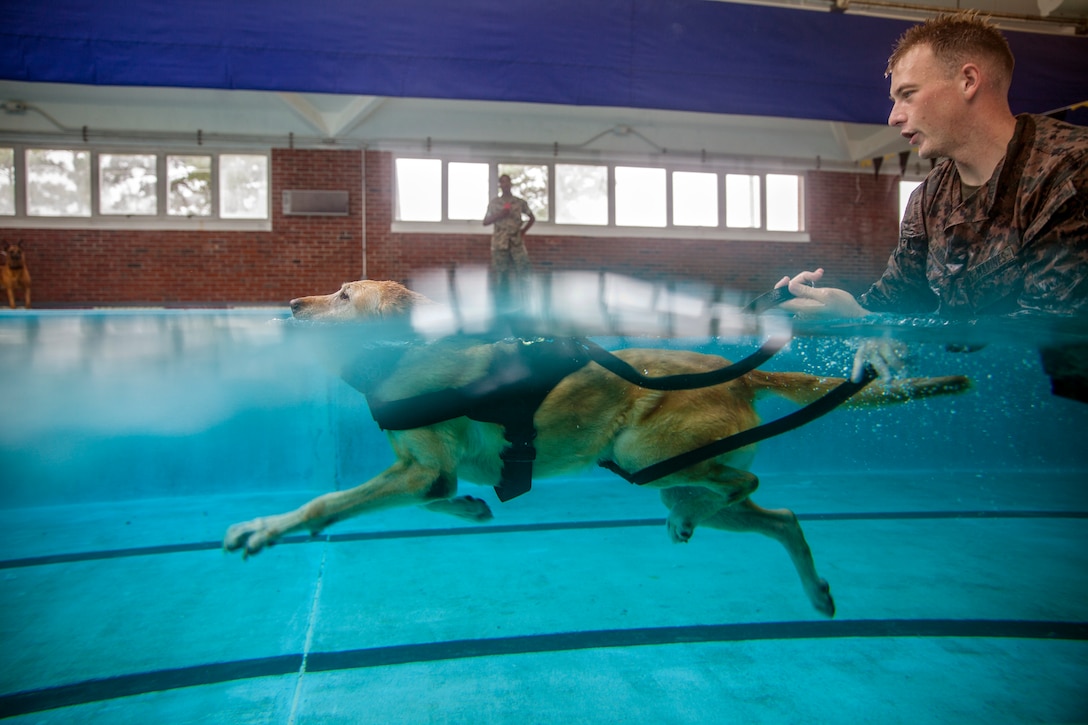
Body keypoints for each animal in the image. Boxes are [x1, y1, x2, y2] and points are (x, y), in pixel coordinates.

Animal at [223, 278, 970, 613]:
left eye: (344, 295)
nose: (290, 306)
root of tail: (741, 372)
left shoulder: (414, 471)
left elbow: (324, 503)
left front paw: (264, 527)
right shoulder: (423, 471)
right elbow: (441, 494)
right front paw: (470, 509)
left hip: (647, 452)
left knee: (742, 485)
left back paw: (696, 515)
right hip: (669, 472)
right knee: (780, 514)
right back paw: (810, 590)